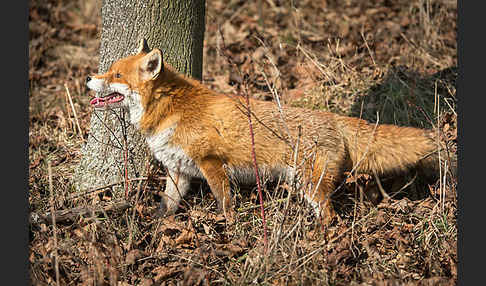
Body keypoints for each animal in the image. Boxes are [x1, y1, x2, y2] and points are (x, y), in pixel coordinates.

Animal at [86, 38, 452, 226]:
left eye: (116, 74)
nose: (89, 78)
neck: (170, 110)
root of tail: (334, 118)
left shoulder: (212, 164)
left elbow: (225, 203)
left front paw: (228, 229)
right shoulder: (179, 172)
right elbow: (166, 207)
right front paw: (155, 228)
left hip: (311, 186)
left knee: (330, 216)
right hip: (303, 183)